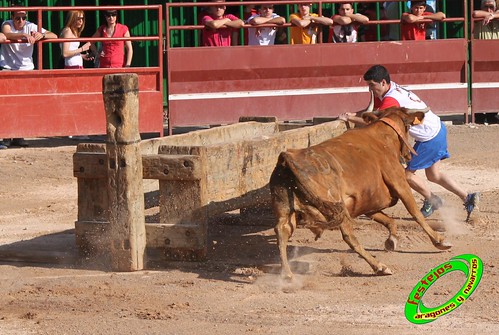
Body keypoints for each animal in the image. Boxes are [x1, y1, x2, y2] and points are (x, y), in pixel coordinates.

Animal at [270, 98, 454, 280]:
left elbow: (388, 220)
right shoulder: (400, 183)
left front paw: (391, 240)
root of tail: (287, 159)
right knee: (349, 237)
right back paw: (379, 266)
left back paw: (286, 274)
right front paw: (439, 241)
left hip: (287, 210)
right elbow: (415, 213)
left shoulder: (368, 203)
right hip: (337, 207)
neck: (382, 138)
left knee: (282, 232)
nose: (408, 156)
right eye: (408, 127)